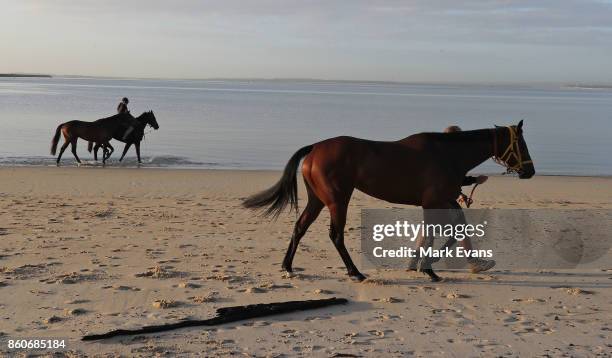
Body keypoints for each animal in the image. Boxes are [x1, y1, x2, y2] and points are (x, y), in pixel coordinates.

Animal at [244, 120, 536, 282]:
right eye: (521, 144)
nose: (530, 171)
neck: (447, 155)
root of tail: (315, 148)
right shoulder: (432, 203)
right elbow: (433, 234)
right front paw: (428, 269)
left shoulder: (444, 200)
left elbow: (457, 229)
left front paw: (428, 263)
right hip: (338, 201)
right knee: (335, 235)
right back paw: (355, 272)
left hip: (317, 200)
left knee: (300, 227)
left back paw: (288, 267)